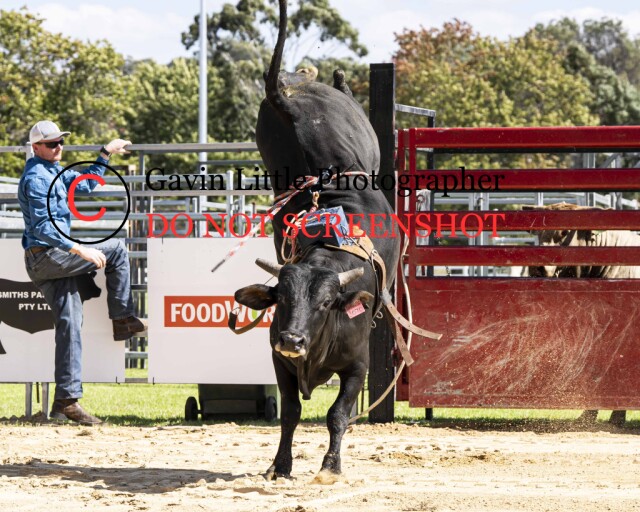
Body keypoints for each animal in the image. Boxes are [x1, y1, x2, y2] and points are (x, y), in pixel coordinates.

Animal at [233, 0, 400, 483]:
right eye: (281, 298)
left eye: (327, 303)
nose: (292, 339)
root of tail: (285, 98)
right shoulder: (280, 363)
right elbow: (289, 413)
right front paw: (280, 465)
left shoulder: (358, 367)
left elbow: (337, 414)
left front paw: (330, 467)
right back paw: (326, 75)